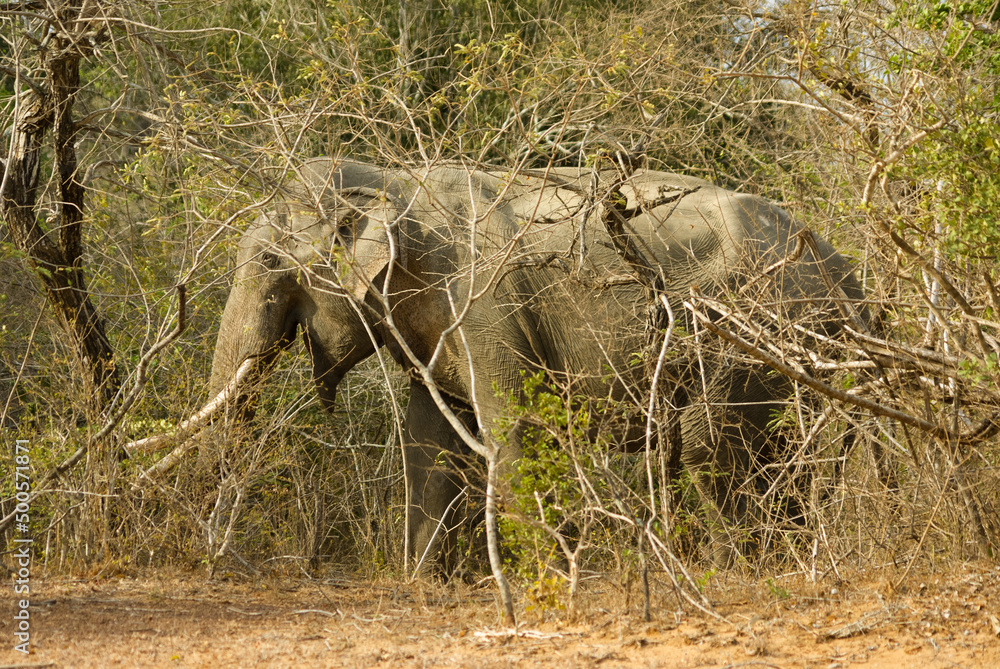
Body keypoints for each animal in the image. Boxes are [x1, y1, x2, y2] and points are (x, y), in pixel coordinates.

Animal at [203, 157, 865, 573]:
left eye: (268, 263)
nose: (223, 556)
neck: (394, 180)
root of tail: (847, 275)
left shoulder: (481, 301)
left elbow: (513, 425)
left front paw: (542, 580)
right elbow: (429, 440)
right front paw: (421, 583)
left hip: (751, 334)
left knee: (711, 449)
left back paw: (736, 571)